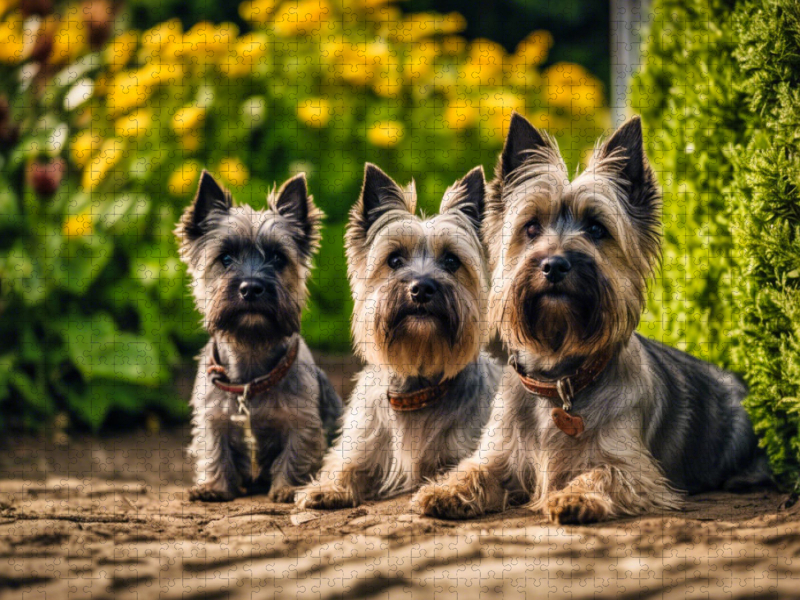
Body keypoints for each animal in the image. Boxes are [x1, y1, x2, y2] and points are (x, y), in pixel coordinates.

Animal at [177, 171, 342, 504]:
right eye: (225, 258)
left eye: (278, 258)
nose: (251, 287)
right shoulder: (212, 419)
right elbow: (214, 450)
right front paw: (214, 486)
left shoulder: (302, 422)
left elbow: (296, 452)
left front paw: (288, 488)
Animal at [296, 162, 500, 508]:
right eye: (394, 259)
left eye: (451, 260)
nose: (422, 287)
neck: (417, 388)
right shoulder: (363, 441)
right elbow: (347, 464)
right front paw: (327, 487)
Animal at [412, 113, 768, 524]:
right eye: (531, 226)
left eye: (597, 229)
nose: (554, 264)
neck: (558, 381)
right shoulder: (499, 453)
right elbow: (474, 469)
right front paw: (444, 490)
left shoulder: (634, 467)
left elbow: (602, 472)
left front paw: (574, 496)